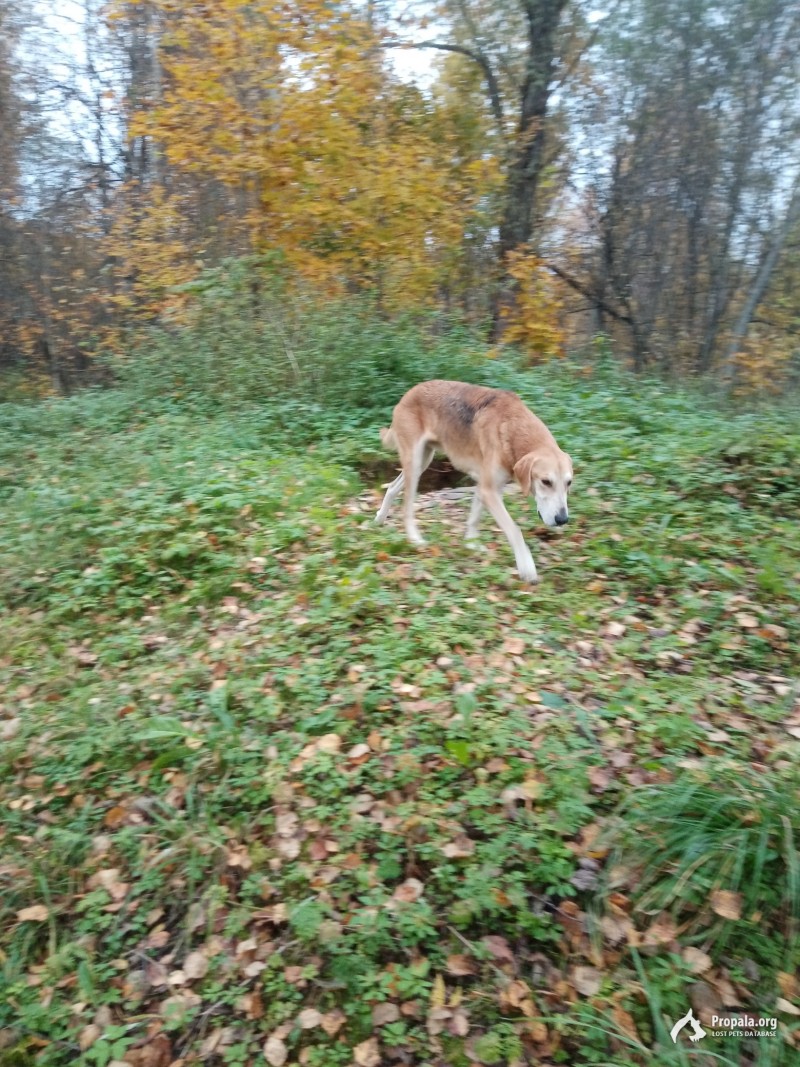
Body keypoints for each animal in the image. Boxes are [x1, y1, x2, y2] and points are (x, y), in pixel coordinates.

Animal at [375, 381, 571, 584]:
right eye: (546, 482)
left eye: (569, 483)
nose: (562, 520)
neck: (511, 429)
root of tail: (410, 392)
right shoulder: (488, 491)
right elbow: (515, 530)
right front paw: (527, 568)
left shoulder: (487, 488)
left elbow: (474, 519)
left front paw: (471, 544)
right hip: (415, 464)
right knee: (406, 508)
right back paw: (415, 539)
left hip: (422, 462)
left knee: (391, 488)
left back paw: (379, 519)